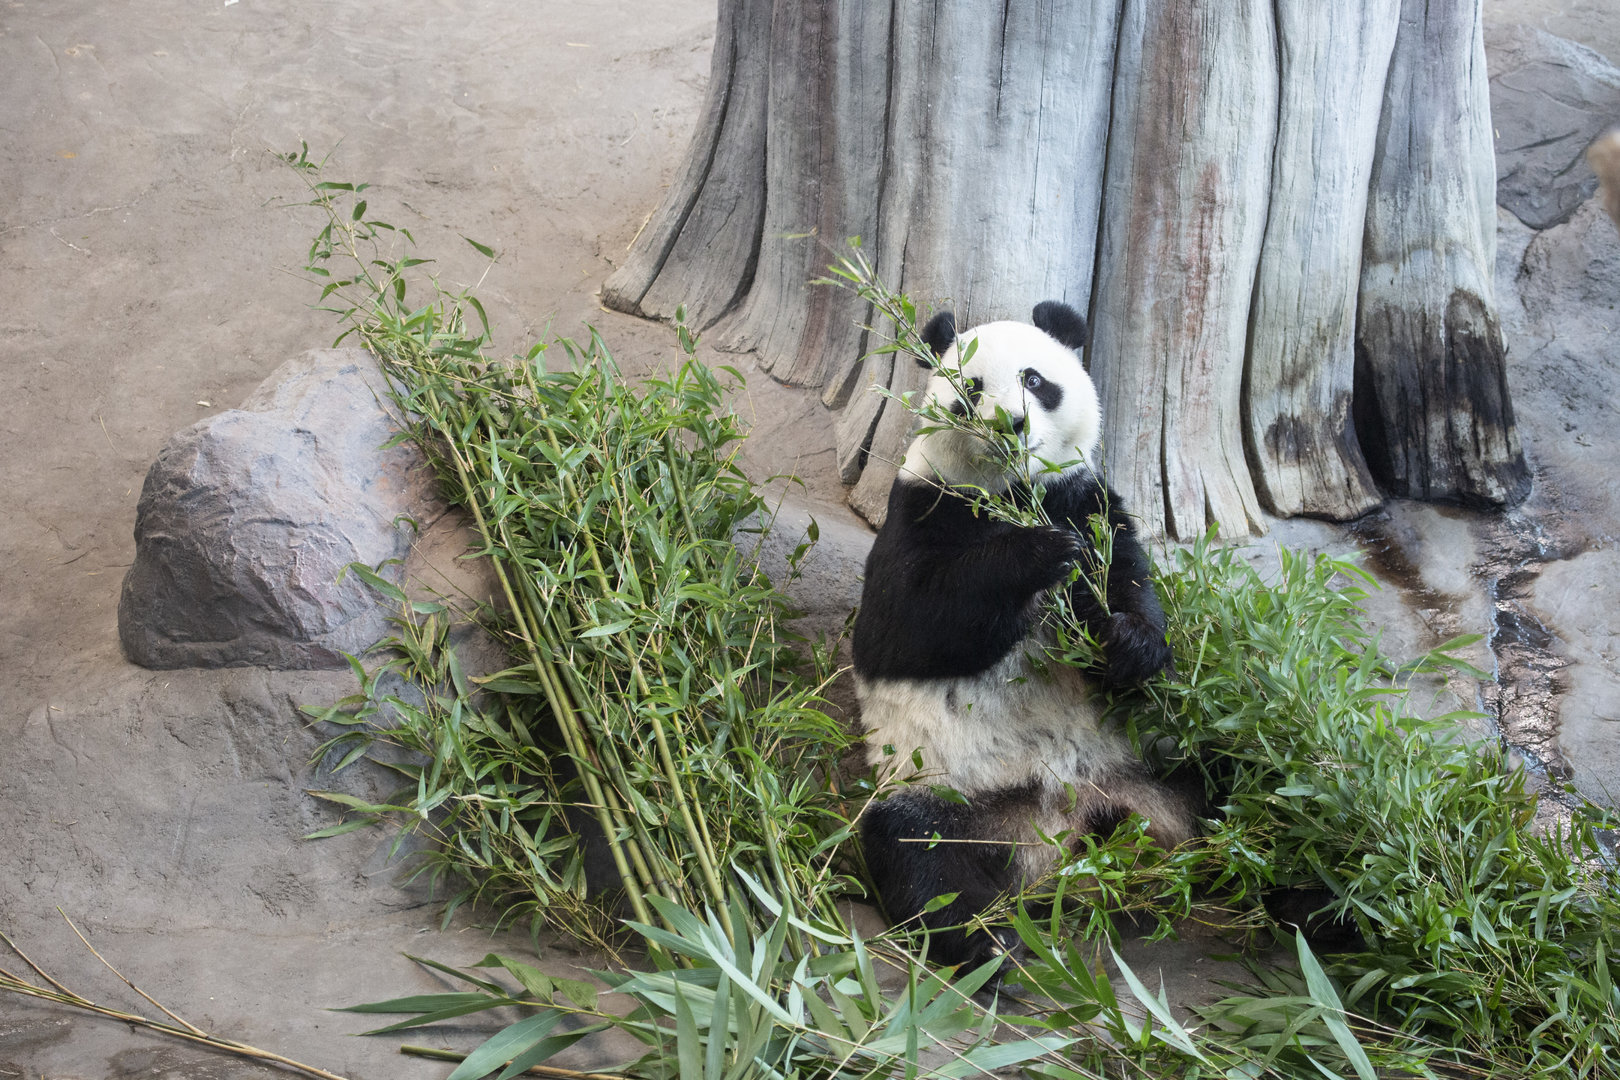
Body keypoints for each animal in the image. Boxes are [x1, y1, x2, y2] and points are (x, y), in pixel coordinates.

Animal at [853, 299, 1199, 969]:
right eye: (970, 389)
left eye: (1035, 379)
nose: (1011, 424)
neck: (1014, 489)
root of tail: (1060, 834)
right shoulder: (921, 508)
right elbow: (906, 625)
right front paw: (1037, 553)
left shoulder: (1086, 497)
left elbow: (1127, 583)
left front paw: (1125, 642)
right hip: (944, 792)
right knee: (917, 855)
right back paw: (989, 946)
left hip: (1157, 752)